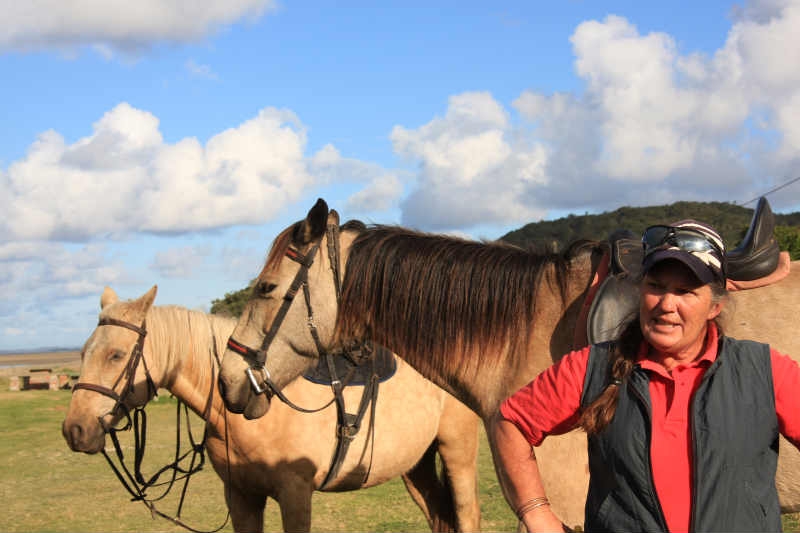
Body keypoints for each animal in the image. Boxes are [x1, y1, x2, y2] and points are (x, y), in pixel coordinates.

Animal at [62, 286, 482, 533]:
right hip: (416, 464)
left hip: (457, 453)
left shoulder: (295, 494)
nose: (74, 430)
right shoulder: (241, 496)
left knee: (467, 515)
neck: (249, 404)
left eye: (117, 355)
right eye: (83, 352)